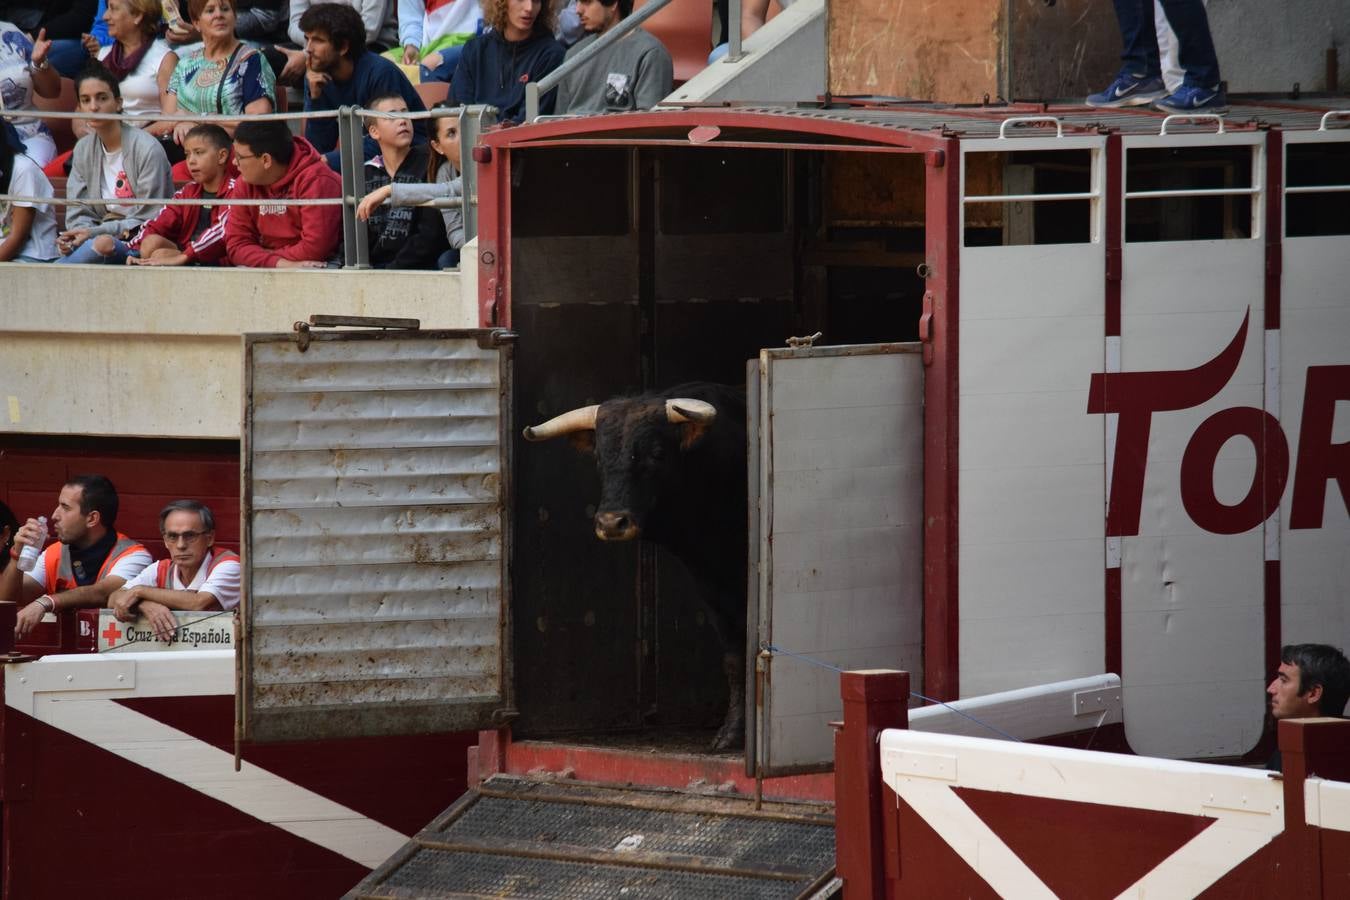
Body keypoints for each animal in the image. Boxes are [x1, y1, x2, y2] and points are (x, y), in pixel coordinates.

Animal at [521, 383, 750, 755]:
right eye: (599, 457)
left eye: (657, 454)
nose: (612, 523)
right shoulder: (712, 588)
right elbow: (734, 657)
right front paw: (731, 733)